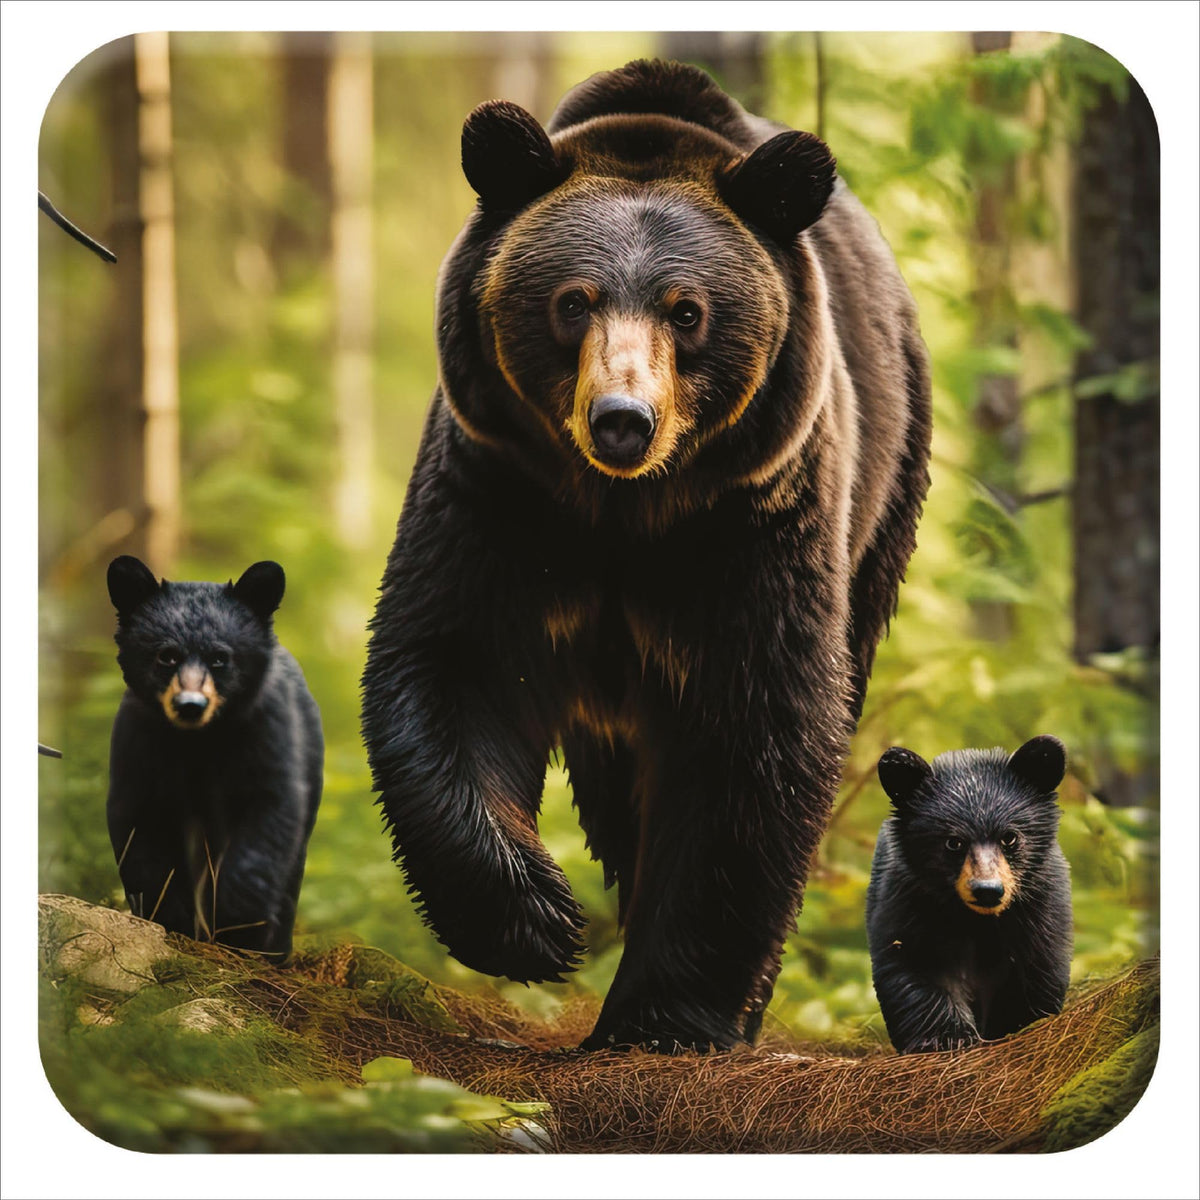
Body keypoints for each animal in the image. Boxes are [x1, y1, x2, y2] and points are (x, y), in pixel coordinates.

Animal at [106, 555, 323, 961]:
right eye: (167, 655)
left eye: (220, 658)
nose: (190, 705)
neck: (199, 742)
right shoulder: (140, 743)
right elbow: (140, 831)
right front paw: (171, 918)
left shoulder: (266, 733)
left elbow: (267, 820)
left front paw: (241, 925)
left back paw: (276, 948)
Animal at [361, 59, 932, 1051]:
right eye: (572, 300)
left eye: (688, 310)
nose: (622, 420)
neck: (623, 513)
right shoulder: (499, 487)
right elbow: (457, 665)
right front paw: (537, 921)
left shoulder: (751, 519)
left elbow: (753, 733)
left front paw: (666, 1014)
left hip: (885, 491)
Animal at [866, 735, 1073, 1053]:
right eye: (954, 842)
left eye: (1009, 837)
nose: (987, 890)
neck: (977, 921)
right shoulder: (908, 897)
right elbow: (911, 960)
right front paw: (946, 1036)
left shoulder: (1040, 902)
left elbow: (1037, 965)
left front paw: (1013, 1024)